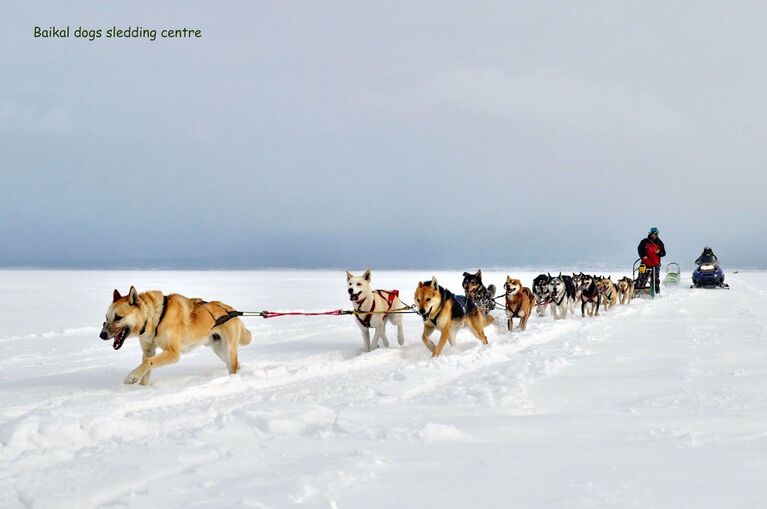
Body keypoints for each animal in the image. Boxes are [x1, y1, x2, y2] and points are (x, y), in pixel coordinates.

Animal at [99, 288, 252, 382]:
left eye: (118, 317)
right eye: (106, 317)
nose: (102, 335)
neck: (155, 318)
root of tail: (232, 310)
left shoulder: (173, 353)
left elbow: (148, 363)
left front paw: (131, 377)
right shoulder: (149, 351)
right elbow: (146, 366)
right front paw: (142, 387)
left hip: (228, 351)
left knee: (233, 366)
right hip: (220, 350)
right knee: (236, 365)